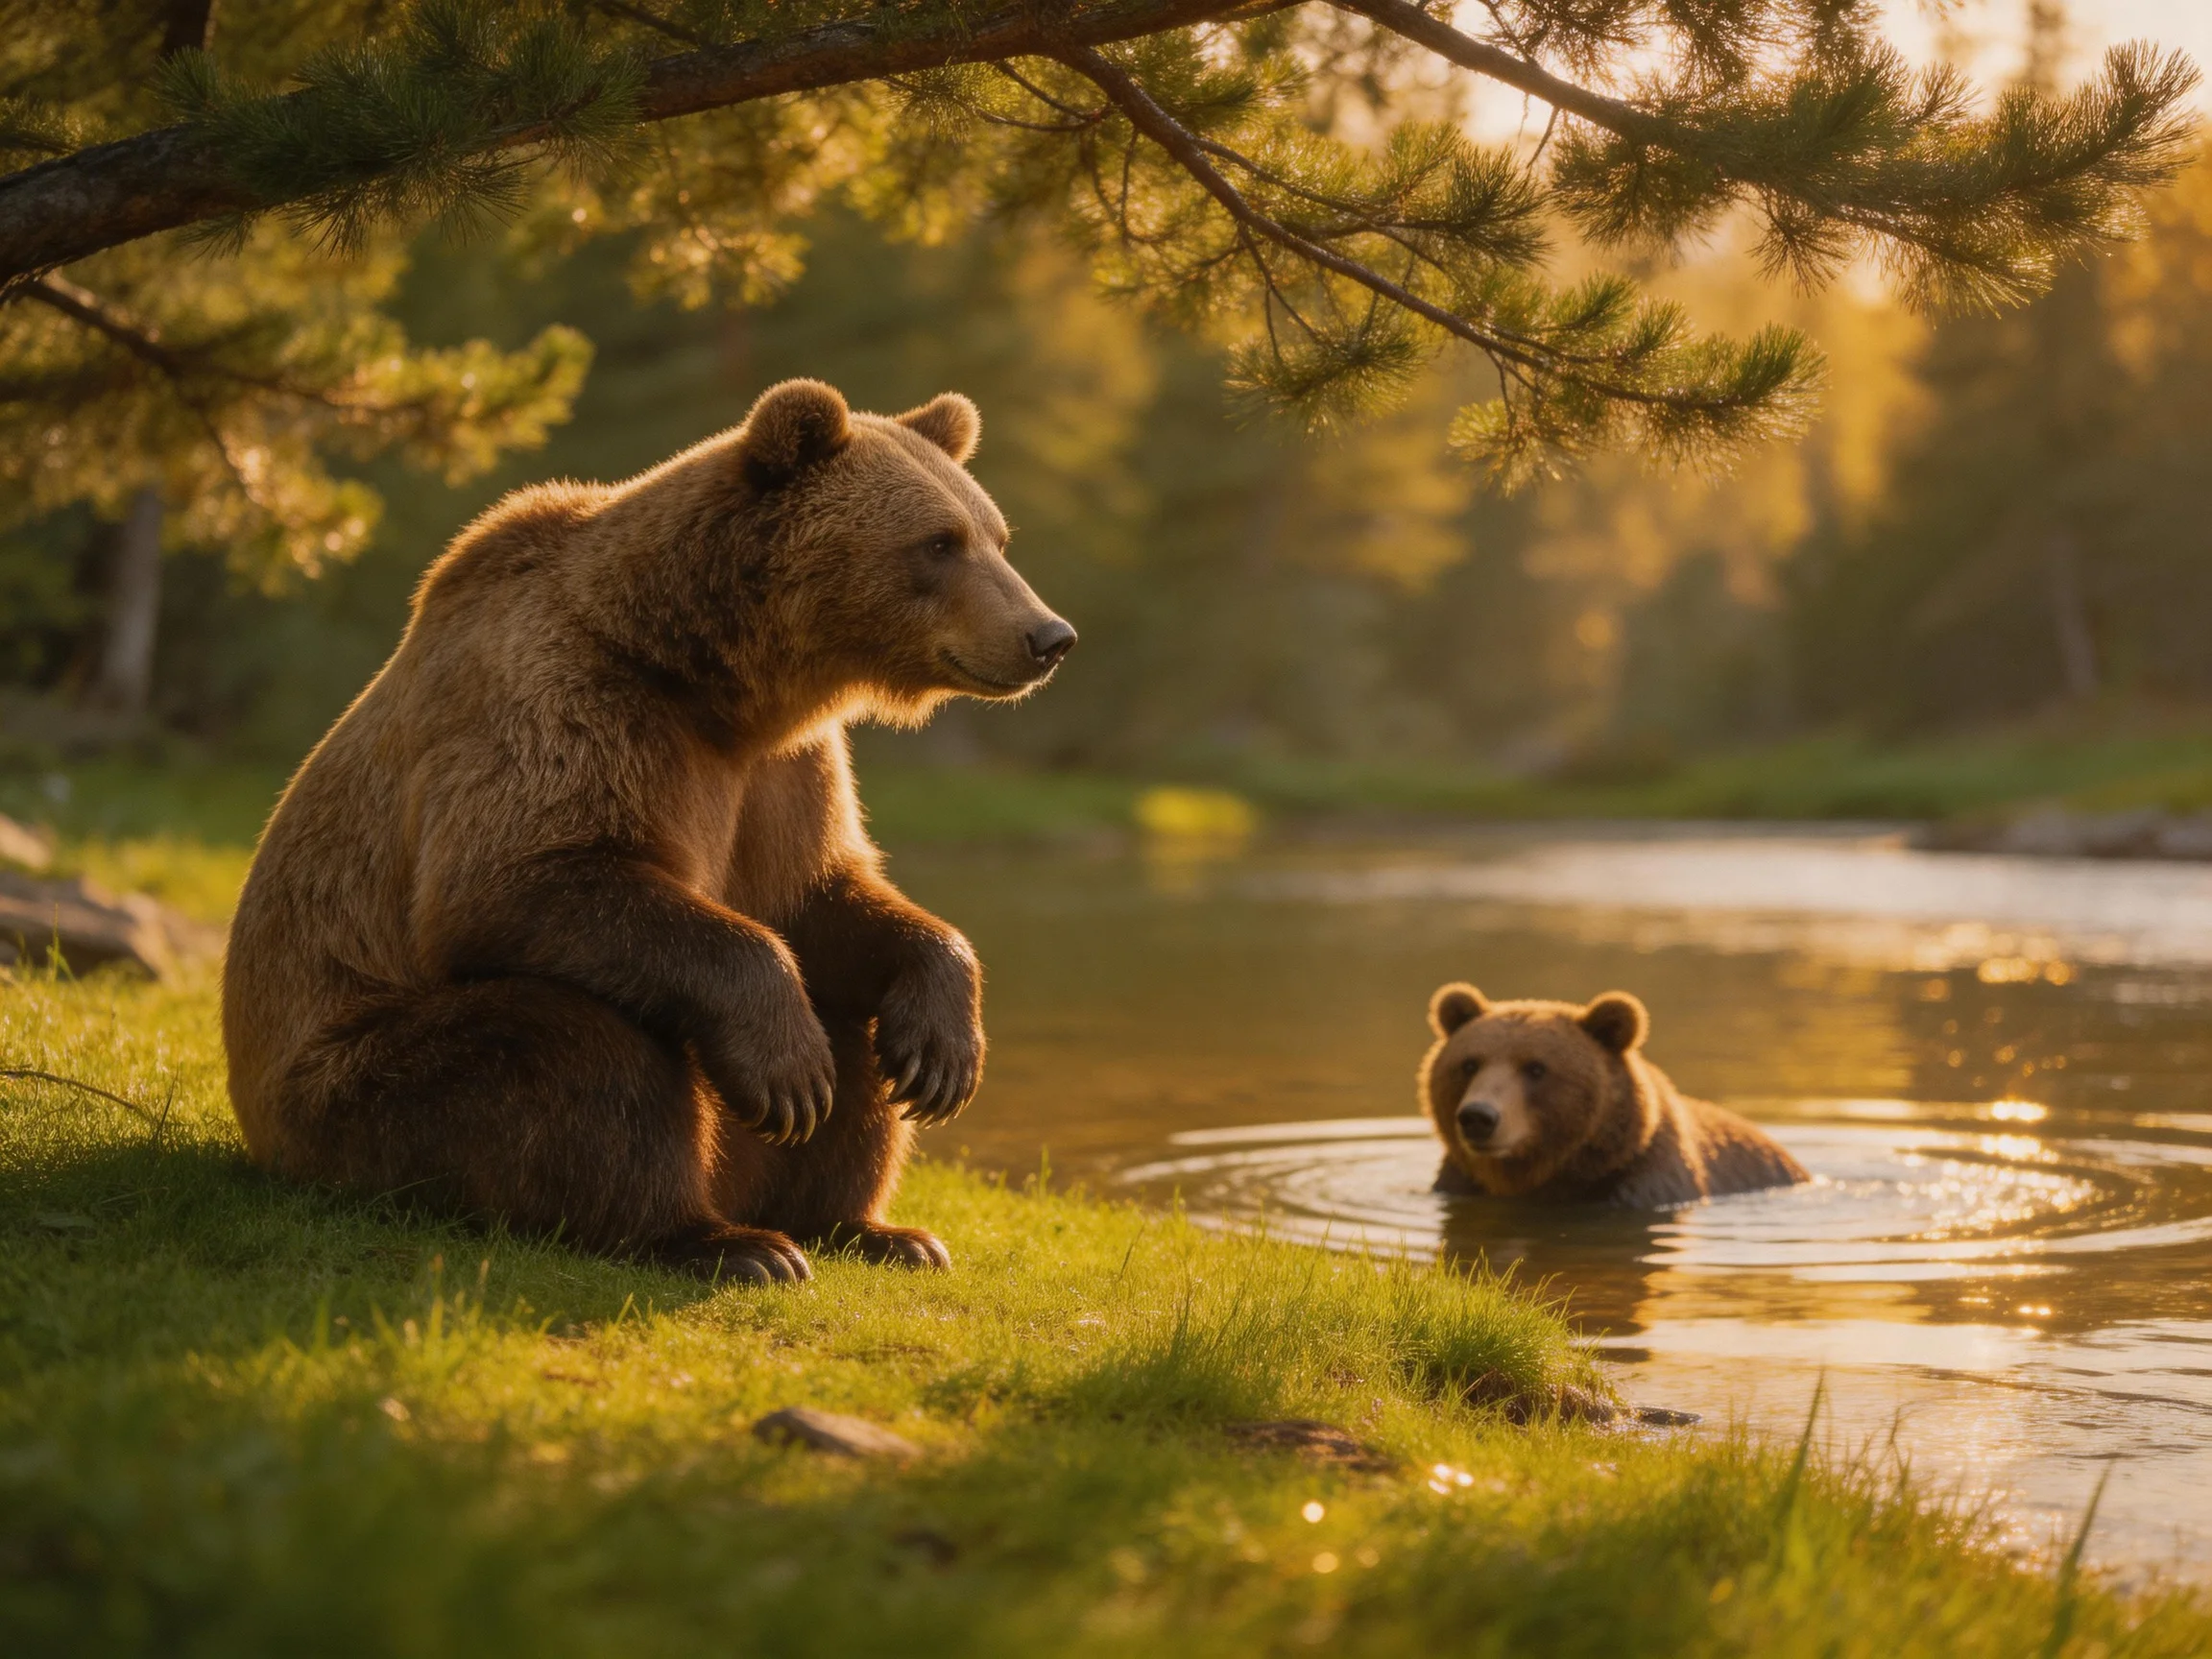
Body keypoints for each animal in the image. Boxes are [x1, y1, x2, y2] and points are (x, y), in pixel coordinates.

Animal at [222, 378, 1076, 1285]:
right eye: (939, 542)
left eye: (995, 536)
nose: (1048, 636)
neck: (712, 679)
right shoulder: (570, 700)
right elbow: (518, 878)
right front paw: (790, 1070)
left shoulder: (784, 772)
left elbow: (819, 892)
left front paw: (941, 1053)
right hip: (350, 1088)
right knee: (573, 1049)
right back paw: (720, 1240)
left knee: (847, 1023)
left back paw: (868, 1229)